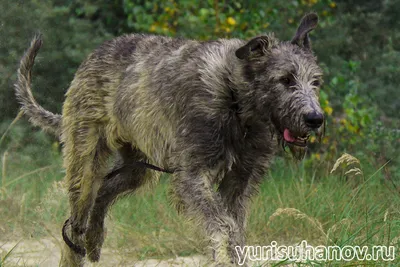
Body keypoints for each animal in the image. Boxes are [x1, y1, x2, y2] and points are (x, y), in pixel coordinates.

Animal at [14, 13, 324, 267]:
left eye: (316, 82)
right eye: (285, 79)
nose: (315, 118)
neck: (235, 98)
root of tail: (90, 58)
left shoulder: (240, 181)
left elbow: (235, 229)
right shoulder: (193, 175)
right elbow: (223, 225)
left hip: (137, 167)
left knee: (104, 191)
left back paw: (95, 237)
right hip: (86, 160)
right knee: (75, 224)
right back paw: (81, 243)